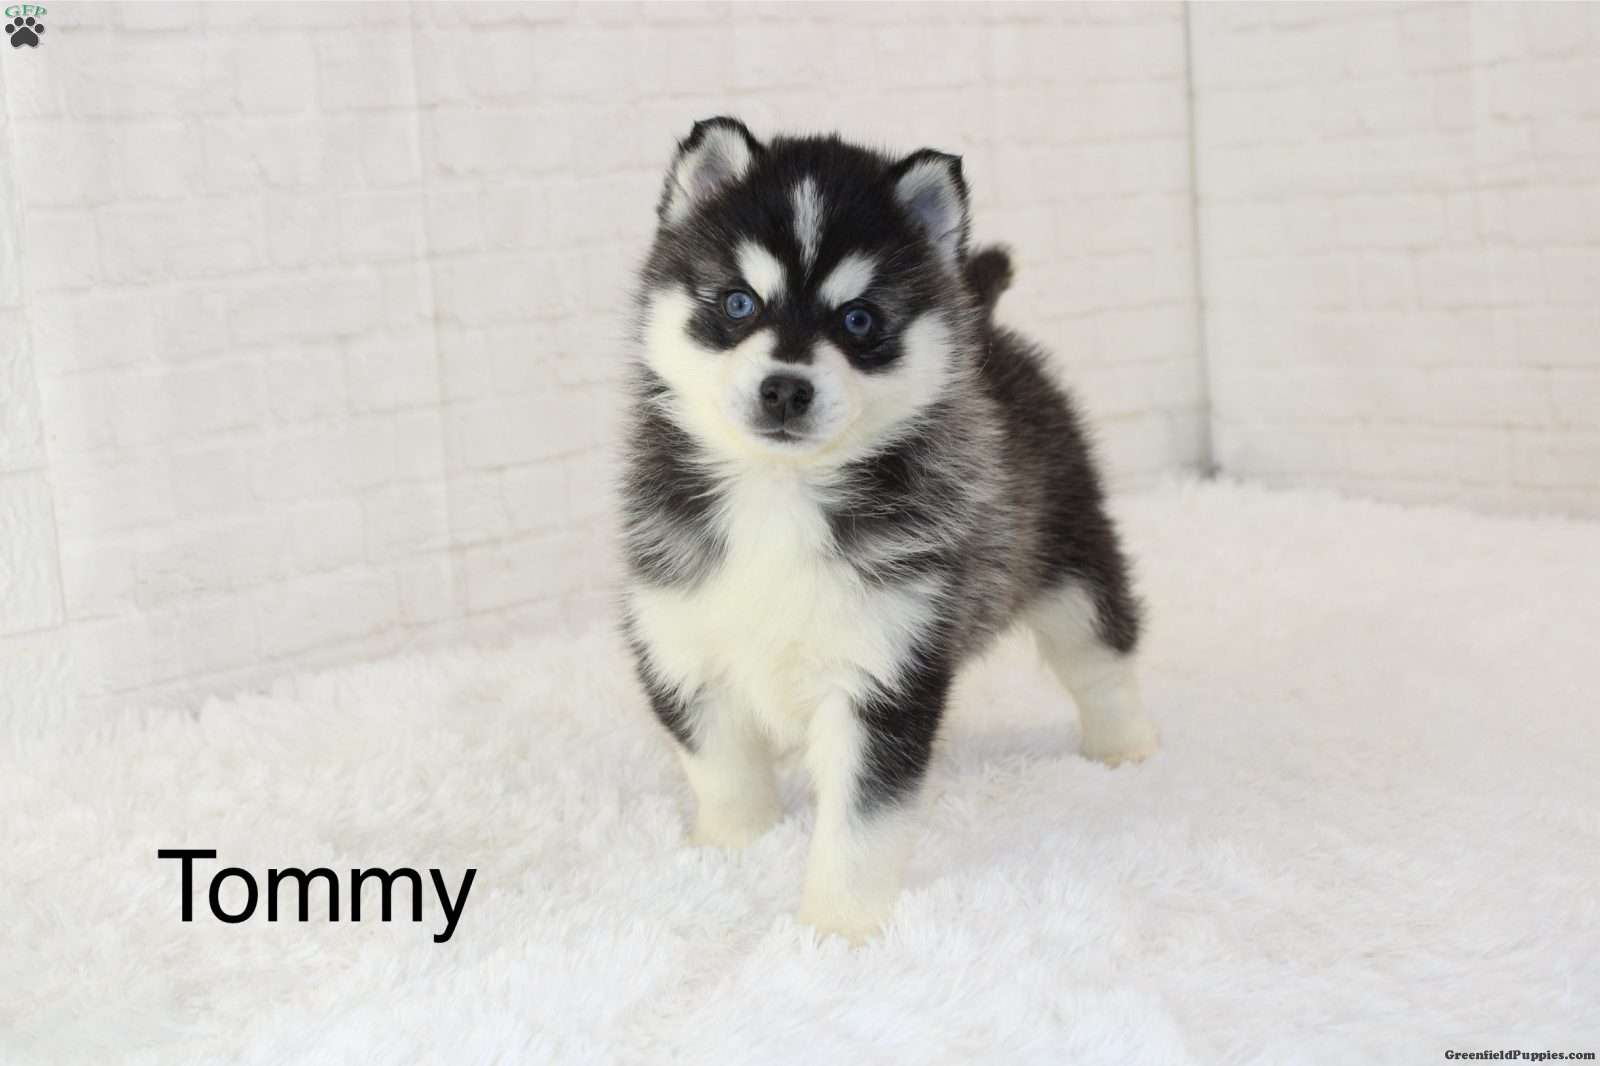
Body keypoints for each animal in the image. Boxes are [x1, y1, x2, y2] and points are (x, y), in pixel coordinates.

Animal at [619, 118, 1158, 942]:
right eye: (739, 303)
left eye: (859, 320)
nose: (786, 387)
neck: (780, 494)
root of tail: (985, 325)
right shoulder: (683, 639)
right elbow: (723, 767)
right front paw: (734, 850)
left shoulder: (884, 676)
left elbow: (860, 825)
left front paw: (837, 928)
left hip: (1070, 560)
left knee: (1101, 654)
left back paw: (1124, 747)